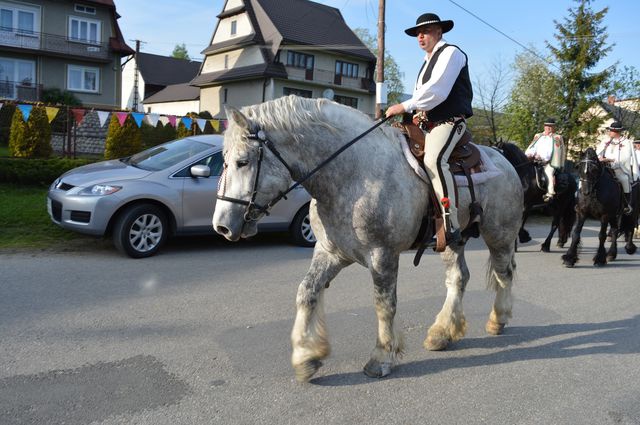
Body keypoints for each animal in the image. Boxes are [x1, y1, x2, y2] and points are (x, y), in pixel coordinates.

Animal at [212, 95, 524, 380]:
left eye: (242, 161)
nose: (221, 226)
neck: (355, 174)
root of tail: (503, 159)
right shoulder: (330, 252)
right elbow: (307, 292)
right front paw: (306, 356)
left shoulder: (382, 255)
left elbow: (384, 304)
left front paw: (381, 357)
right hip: (451, 241)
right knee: (458, 278)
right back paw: (442, 333)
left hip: (499, 235)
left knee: (504, 274)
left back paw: (497, 319)